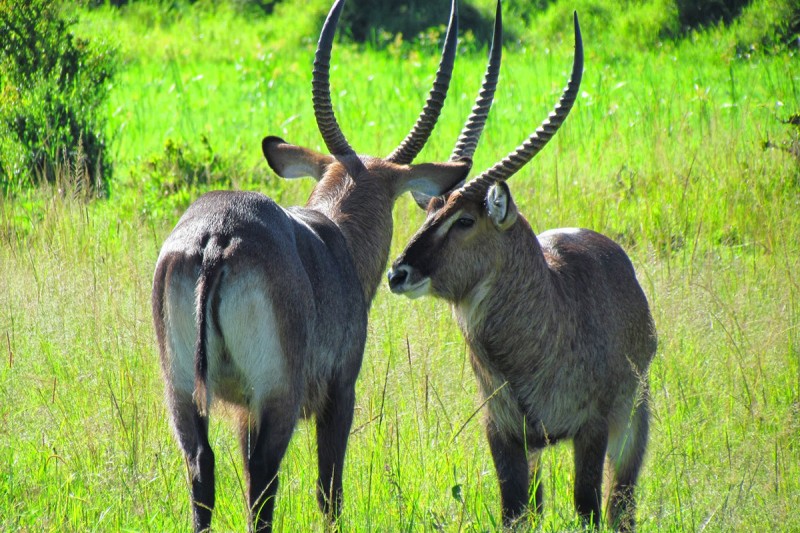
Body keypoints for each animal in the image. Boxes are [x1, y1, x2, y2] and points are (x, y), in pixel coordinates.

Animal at [152, 0, 500, 528]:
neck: (336, 231)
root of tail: (218, 237)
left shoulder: (241, 410)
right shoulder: (340, 391)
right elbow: (329, 489)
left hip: (182, 392)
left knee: (201, 469)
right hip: (278, 393)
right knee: (265, 480)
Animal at [388, 10, 656, 528]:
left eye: (465, 219)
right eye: (430, 208)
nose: (397, 274)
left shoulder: (592, 429)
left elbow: (588, 507)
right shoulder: (503, 433)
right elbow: (514, 511)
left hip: (634, 420)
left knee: (622, 503)